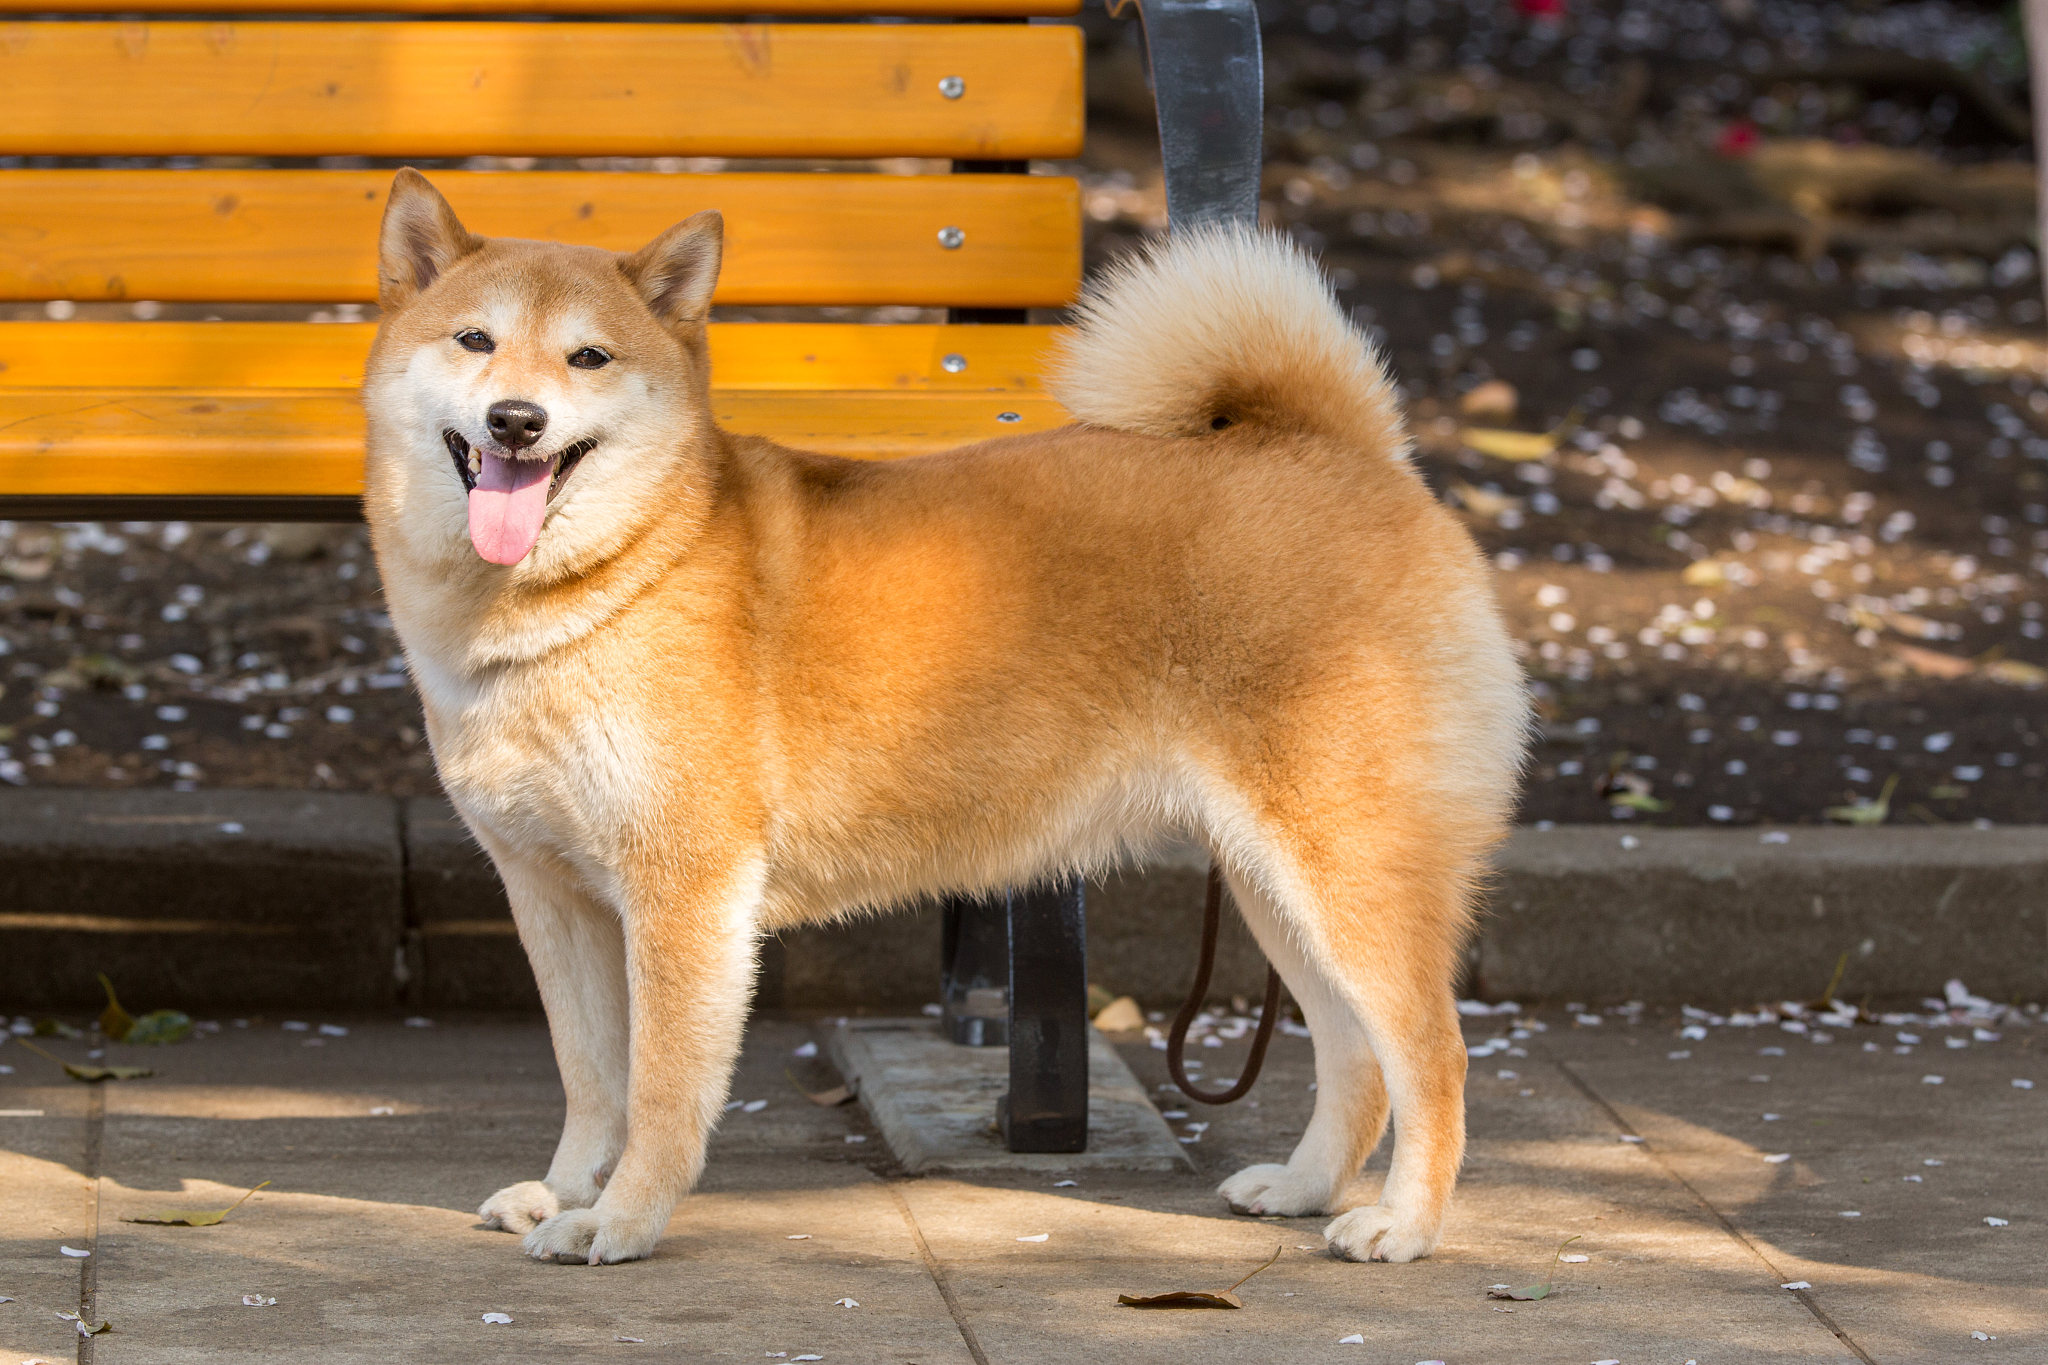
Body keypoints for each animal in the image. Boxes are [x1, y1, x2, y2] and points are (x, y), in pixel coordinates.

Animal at [360, 167, 1531, 1268]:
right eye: (476, 340)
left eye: (589, 358)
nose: (517, 419)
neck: (613, 577)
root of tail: (1348, 452)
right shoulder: (553, 896)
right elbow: (590, 1076)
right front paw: (566, 1191)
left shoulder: (681, 894)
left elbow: (657, 1089)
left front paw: (621, 1217)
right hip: (1272, 884)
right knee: (1353, 1054)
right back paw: (1303, 1187)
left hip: (1346, 871)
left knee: (1432, 1055)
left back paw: (1404, 1224)